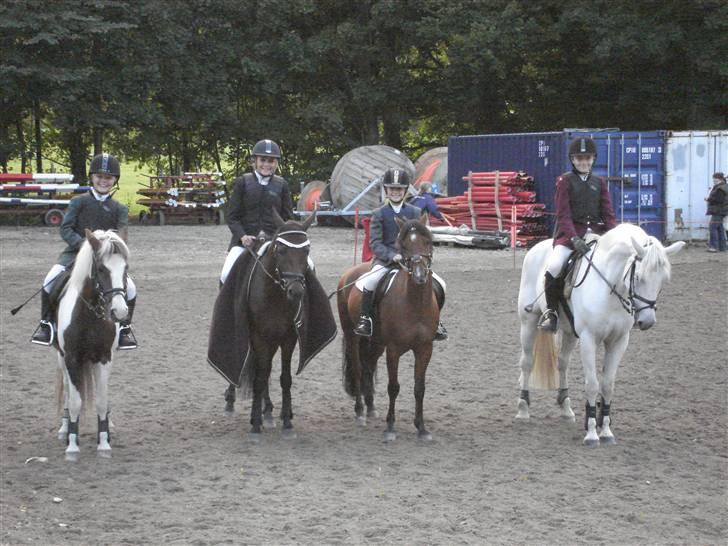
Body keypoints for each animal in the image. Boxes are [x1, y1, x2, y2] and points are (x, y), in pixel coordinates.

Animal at [54, 227, 130, 456]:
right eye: (102, 269)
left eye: (125, 268)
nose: (119, 311)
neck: (90, 315)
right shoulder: (71, 358)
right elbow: (75, 401)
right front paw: (72, 444)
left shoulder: (104, 358)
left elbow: (101, 401)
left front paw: (104, 442)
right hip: (61, 358)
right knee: (67, 389)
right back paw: (64, 427)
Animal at [336, 215, 438, 440]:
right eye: (404, 245)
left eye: (428, 242)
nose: (420, 276)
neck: (415, 303)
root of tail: (349, 273)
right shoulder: (394, 349)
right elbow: (393, 387)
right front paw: (390, 427)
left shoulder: (425, 348)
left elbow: (420, 388)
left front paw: (422, 428)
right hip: (353, 336)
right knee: (358, 369)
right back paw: (360, 412)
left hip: (376, 342)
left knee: (368, 366)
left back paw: (371, 407)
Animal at [516, 223, 684, 444]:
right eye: (638, 277)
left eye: (663, 280)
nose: (647, 321)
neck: (610, 289)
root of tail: (537, 247)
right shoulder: (589, 339)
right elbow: (592, 384)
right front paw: (591, 433)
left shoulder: (619, 341)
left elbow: (607, 385)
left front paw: (605, 430)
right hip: (528, 322)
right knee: (527, 362)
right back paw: (523, 408)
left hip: (569, 332)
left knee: (563, 363)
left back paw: (566, 408)